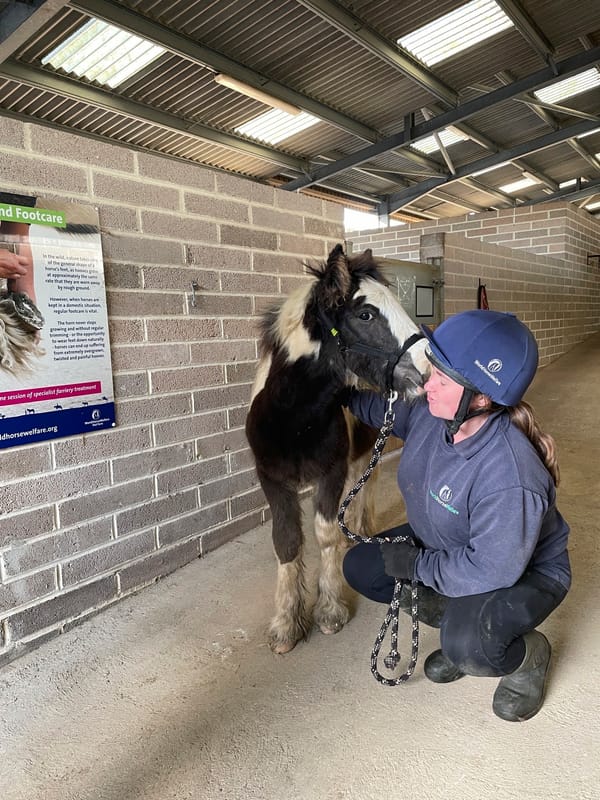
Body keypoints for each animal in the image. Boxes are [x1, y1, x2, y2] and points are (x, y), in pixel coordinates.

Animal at [245, 244, 429, 654]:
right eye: (365, 314)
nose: (428, 370)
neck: (292, 420)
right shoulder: (272, 481)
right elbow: (287, 541)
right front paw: (286, 624)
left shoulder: (331, 472)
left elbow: (326, 534)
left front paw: (329, 611)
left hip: (367, 449)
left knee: (367, 485)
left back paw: (359, 529)